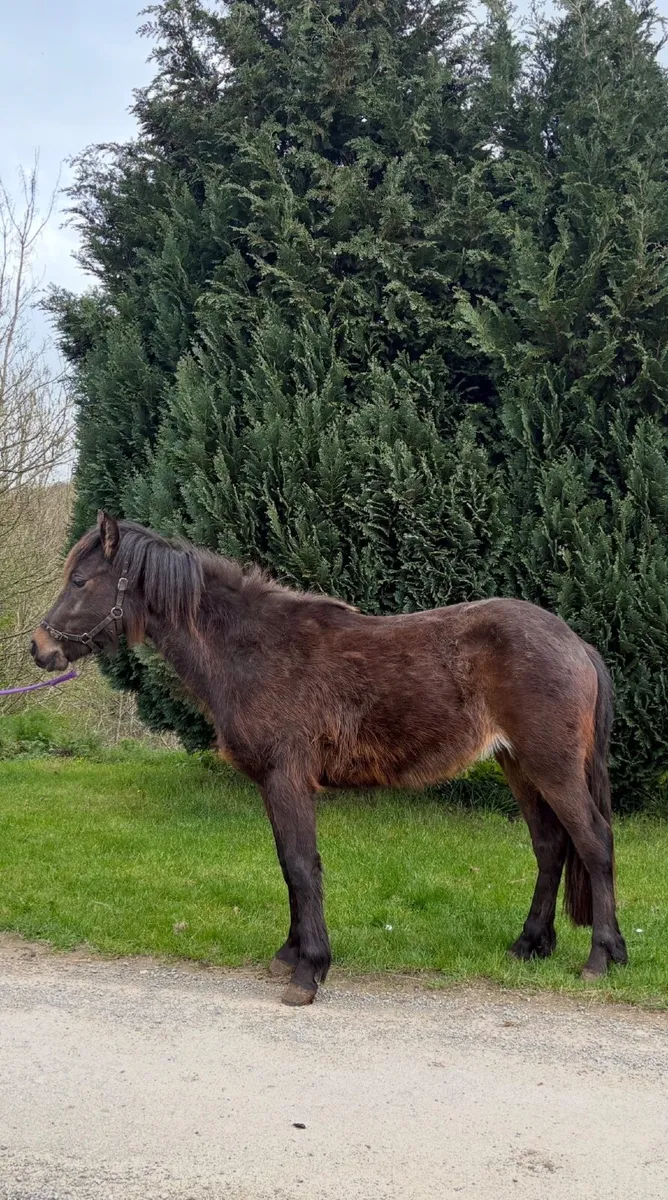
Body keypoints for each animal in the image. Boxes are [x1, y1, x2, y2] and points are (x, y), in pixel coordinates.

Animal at [31, 512, 628, 1005]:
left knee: (594, 843)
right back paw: (530, 945)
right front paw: (289, 954)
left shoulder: (287, 780)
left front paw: (309, 971)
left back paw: (602, 957)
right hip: (519, 766)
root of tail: (576, 644)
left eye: (80, 581)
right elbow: (287, 864)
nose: (41, 648)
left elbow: (301, 865)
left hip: (550, 766)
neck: (253, 650)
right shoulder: (272, 786)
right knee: (550, 847)